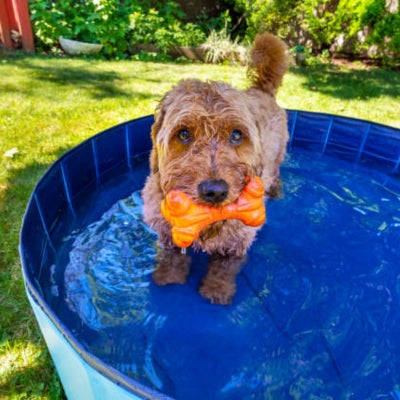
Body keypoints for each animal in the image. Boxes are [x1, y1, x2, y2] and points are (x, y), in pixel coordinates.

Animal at [142, 32, 290, 304]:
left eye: (236, 135)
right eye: (184, 134)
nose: (215, 191)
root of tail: (260, 89)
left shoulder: (237, 240)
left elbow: (224, 268)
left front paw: (216, 291)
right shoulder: (167, 232)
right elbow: (172, 256)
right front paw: (169, 278)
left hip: (276, 159)